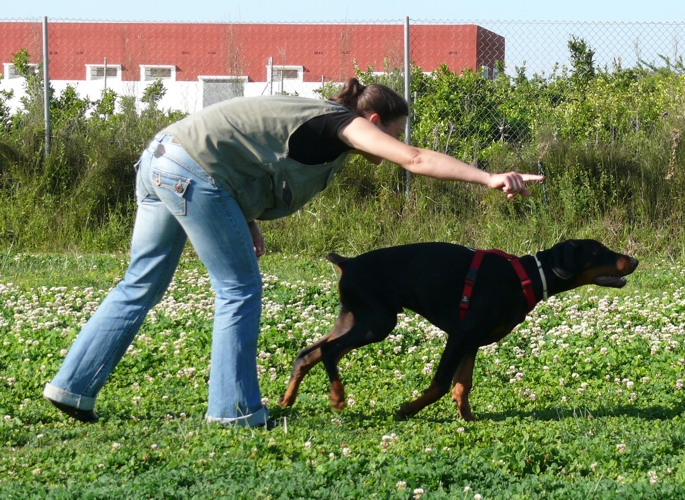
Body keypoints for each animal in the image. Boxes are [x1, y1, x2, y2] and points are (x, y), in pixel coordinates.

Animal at [280, 240, 636, 420]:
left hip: (356, 317)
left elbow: (462, 385)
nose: (634, 261)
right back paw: (337, 397)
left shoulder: (472, 341)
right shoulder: (461, 335)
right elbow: (440, 384)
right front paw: (407, 410)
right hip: (378, 323)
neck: (525, 277)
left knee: (306, 353)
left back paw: (286, 401)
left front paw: (468, 418)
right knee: (329, 351)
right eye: (600, 251)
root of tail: (348, 262)